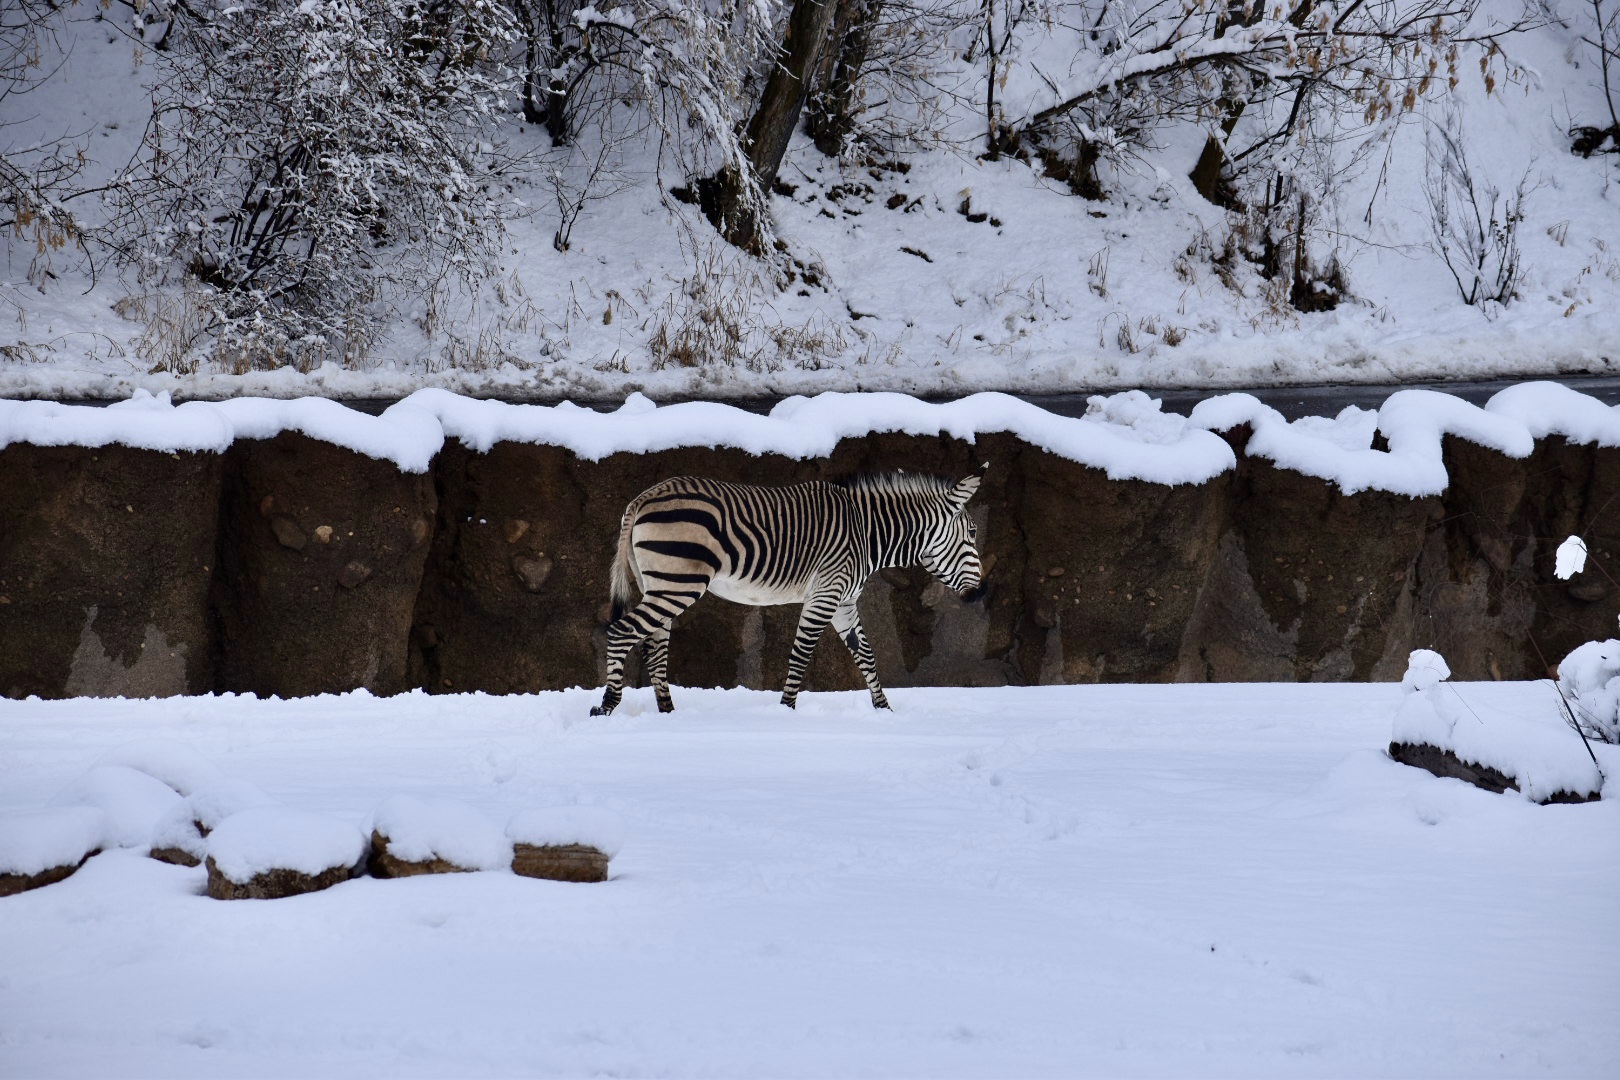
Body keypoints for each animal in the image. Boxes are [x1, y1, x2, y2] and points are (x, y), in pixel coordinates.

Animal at [590, 466, 987, 716]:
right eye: (972, 533)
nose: (981, 595)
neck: (866, 531)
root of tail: (644, 497)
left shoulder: (844, 602)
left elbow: (866, 656)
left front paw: (885, 711)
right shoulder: (826, 593)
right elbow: (801, 654)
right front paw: (787, 712)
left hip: (659, 584)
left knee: (653, 647)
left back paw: (668, 715)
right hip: (677, 585)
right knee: (622, 632)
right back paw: (607, 706)